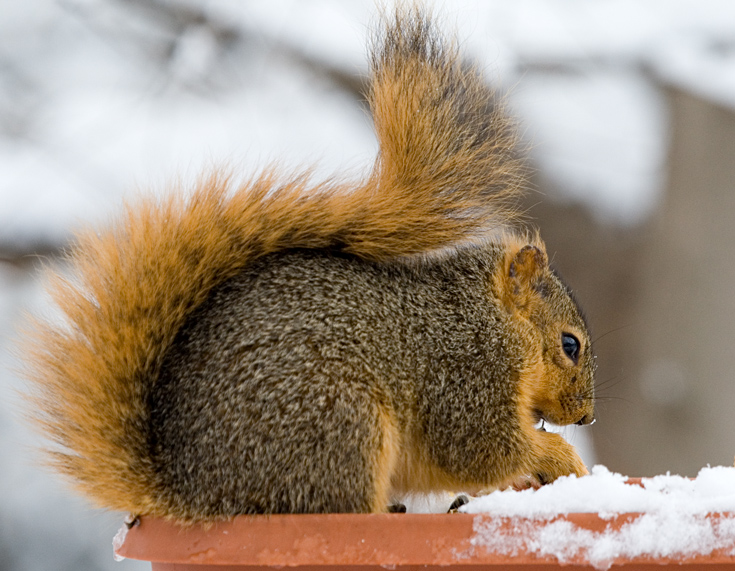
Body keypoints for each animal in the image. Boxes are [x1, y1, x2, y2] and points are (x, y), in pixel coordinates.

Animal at [24, 5, 600, 524]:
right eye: (569, 345)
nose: (586, 417)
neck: (491, 315)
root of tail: (196, 492)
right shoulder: (467, 370)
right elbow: (476, 447)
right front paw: (558, 457)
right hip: (337, 422)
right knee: (336, 506)